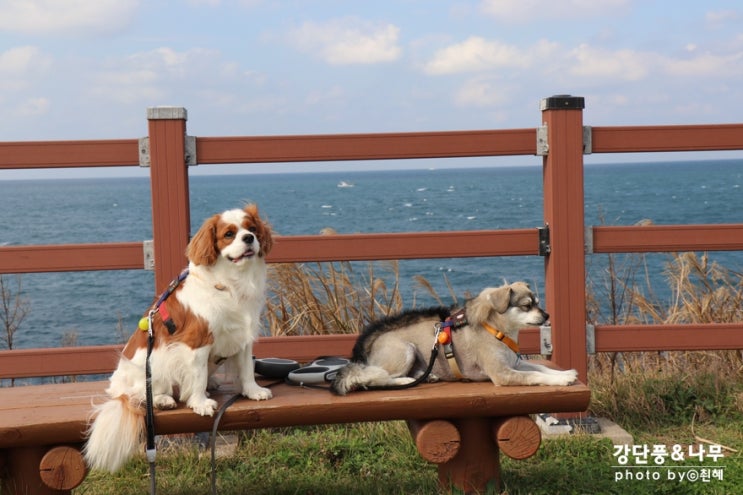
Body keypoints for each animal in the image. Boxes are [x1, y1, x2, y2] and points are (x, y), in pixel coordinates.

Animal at [84, 204, 274, 472]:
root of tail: (117, 388)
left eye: (253, 229)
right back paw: (163, 399)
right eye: (229, 234)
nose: (249, 238)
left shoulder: (243, 337)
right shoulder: (197, 343)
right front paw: (200, 402)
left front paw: (252, 391)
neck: (230, 284)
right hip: (153, 366)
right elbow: (197, 377)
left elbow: (246, 368)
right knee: (143, 394)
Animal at [332, 282, 580, 396]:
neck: (498, 330)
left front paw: (565, 373)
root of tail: (371, 344)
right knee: (373, 378)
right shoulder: (503, 373)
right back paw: (404, 381)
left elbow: (542, 368)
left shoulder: (515, 363)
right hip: (404, 351)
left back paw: (427, 376)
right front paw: (562, 380)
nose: (547, 316)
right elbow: (535, 375)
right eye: (527, 306)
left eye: (538, 303)